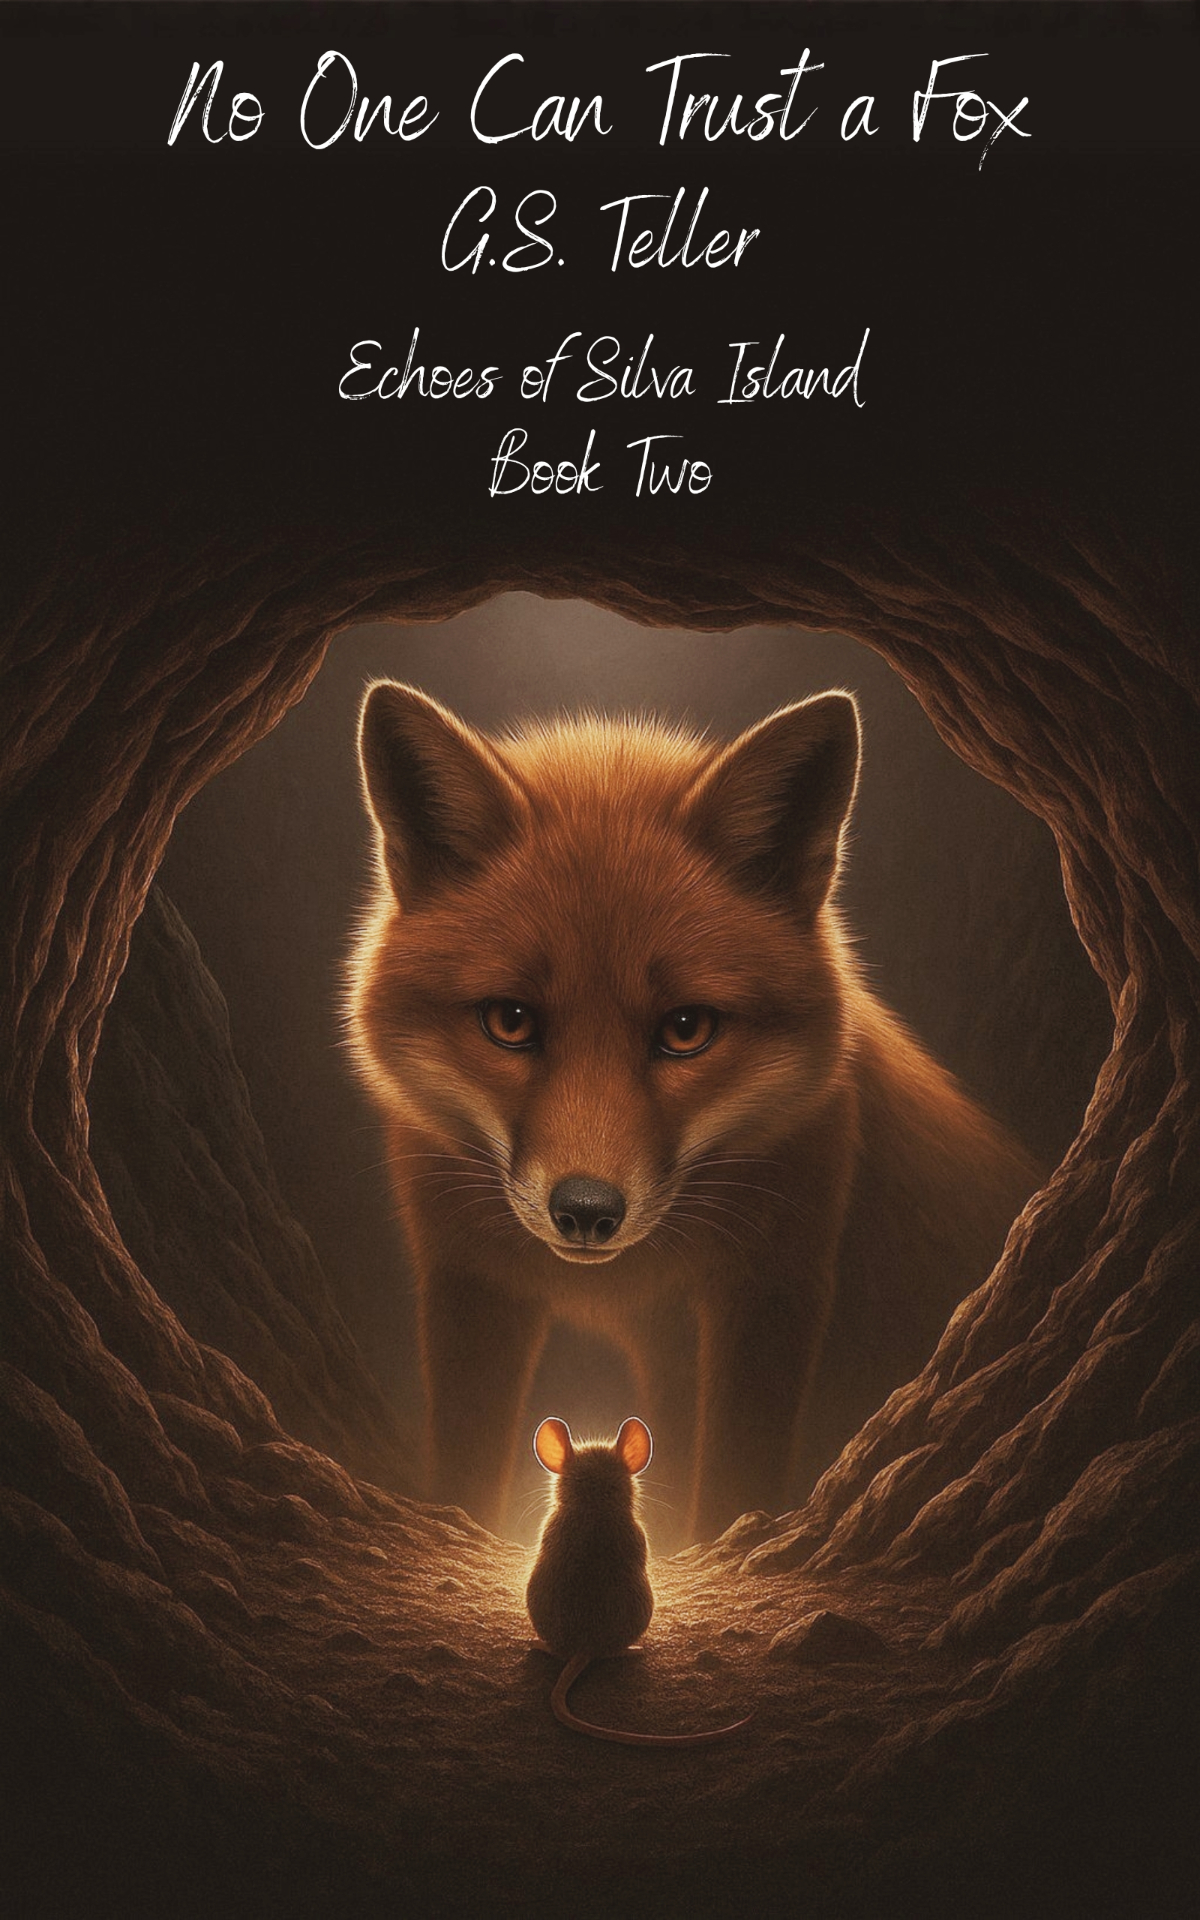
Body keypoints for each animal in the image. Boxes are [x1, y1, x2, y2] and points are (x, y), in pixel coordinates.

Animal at [347, 681, 1040, 1545]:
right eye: (510, 1021)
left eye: (685, 1029)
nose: (585, 1212)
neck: (624, 1288)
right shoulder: (469, 1283)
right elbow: (465, 1469)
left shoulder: (773, 1288)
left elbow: (734, 1482)